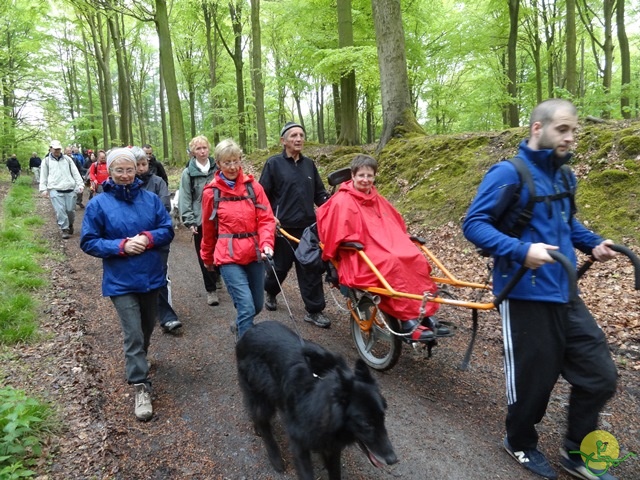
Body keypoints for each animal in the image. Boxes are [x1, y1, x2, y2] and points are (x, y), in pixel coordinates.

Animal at [236, 318, 396, 480]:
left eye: (383, 418)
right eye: (366, 423)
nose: (393, 460)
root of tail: (248, 331)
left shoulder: (331, 446)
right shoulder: (299, 442)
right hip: (261, 396)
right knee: (263, 421)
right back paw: (275, 456)